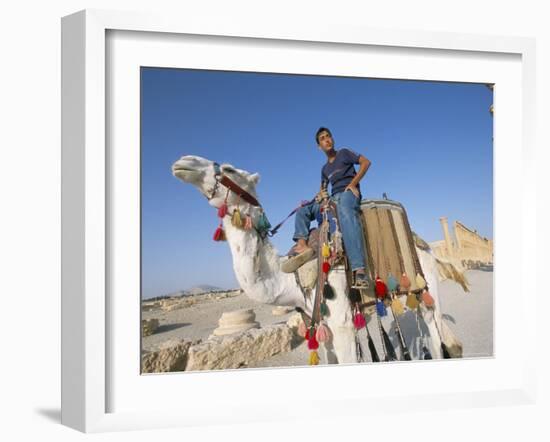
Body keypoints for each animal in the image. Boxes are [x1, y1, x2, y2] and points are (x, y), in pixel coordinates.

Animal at [172, 155, 466, 362]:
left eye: (230, 169)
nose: (183, 162)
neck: (291, 280)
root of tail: (426, 246)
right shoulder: (322, 329)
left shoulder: (342, 324)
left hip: (427, 287)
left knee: (437, 337)